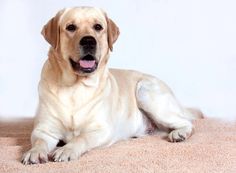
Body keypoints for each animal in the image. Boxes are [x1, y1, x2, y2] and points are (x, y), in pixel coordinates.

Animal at [21, 6, 203, 164]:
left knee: (188, 123)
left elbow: (81, 137)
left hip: (145, 91)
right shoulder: (44, 130)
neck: (76, 87)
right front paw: (34, 152)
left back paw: (180, 134)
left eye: (98, 27)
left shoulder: (102, 129)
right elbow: (39, 142)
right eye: (71, 27)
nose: (89, 41)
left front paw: (67, 149)